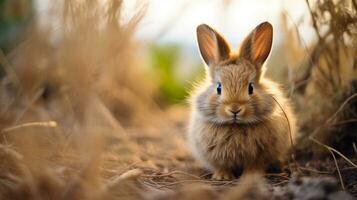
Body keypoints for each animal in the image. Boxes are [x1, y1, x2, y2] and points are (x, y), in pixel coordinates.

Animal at [188, 21, 296, 180]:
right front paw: (222, 176)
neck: (235, 126)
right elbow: (222, 165)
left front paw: (250, 177)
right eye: (219, 88)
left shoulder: (260, 156)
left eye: (250, 88)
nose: (234, 109)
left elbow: (254, 165)